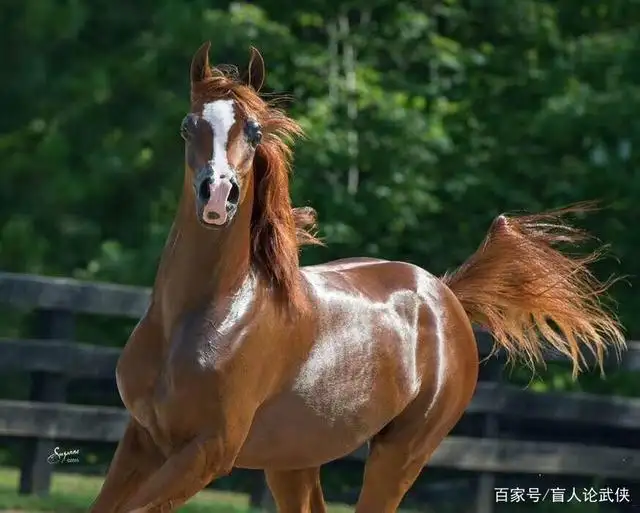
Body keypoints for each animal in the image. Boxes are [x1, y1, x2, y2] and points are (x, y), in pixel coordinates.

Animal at [90, 42, 624, 510]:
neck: (207, 315)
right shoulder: (143, 436)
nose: (218, 195)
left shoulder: (209, 451)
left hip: (399, 454)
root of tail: (445, 292)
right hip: (294, 457)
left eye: (255, 131)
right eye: (188, 126)